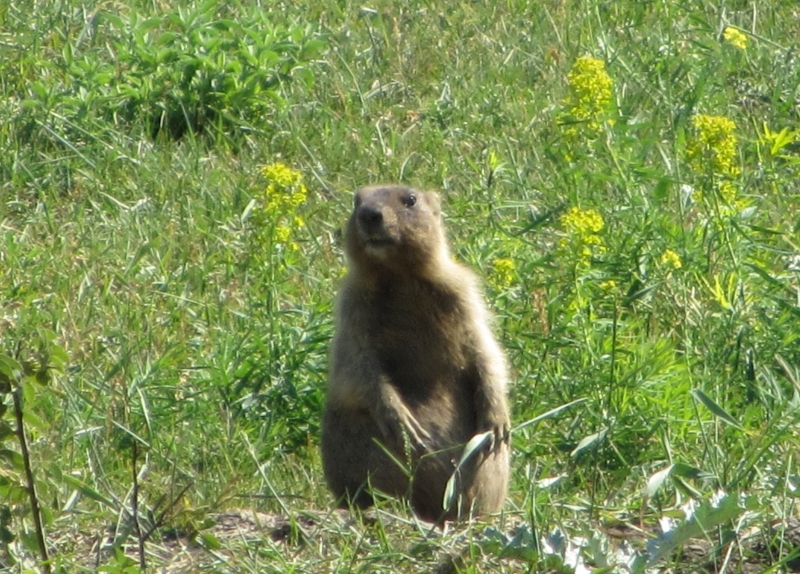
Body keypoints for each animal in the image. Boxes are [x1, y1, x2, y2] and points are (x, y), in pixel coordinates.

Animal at [321, 185, 510, 523]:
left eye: (410, 200)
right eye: (357, 200)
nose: (369, 214)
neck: (397, 276)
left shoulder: (463, 295)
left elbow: (485, 350)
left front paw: (497, 420)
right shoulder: (352, 308)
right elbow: (358, 365)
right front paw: (404, 422)